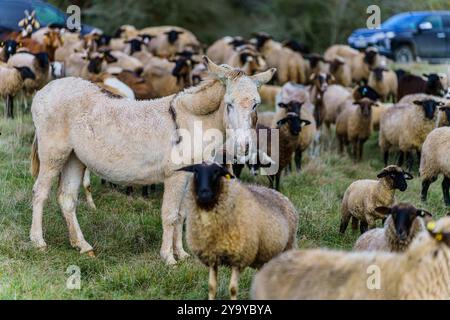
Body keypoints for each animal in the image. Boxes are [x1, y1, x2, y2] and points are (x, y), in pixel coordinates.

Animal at [177, 162, 298, 300]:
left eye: (217, 172)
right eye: (196, 172)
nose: (204, 194)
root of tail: (279, 194)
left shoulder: (239, 257)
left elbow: (233, 289)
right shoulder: (212, 257)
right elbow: (211, 287)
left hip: (288, 246)